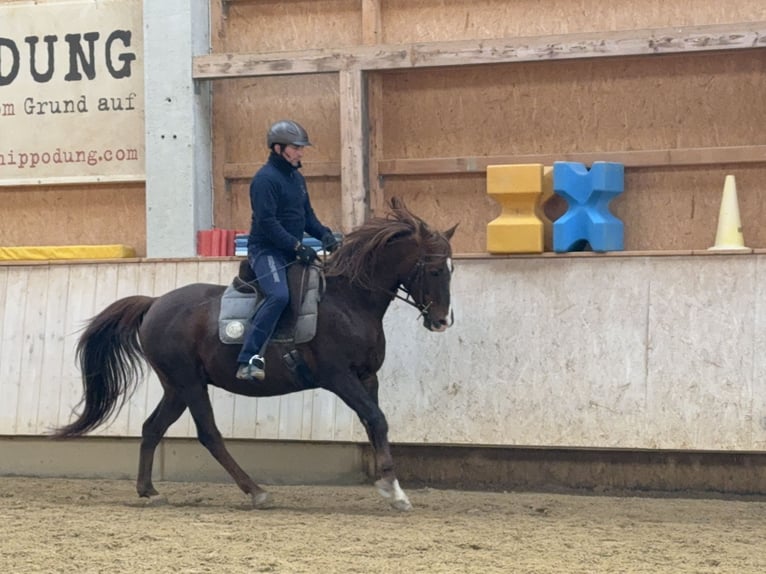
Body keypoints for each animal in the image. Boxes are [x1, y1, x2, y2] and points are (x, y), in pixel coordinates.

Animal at [55, 199, 462, 512]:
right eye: (434, 269)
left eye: (451, 268)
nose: (442, 321)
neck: (348, 299)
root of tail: (155, 303)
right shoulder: (340, 377)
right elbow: (376, 419)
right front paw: (393, 489)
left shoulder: (366, 376)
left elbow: (375, 422)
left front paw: (390, 487)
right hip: (189, 384)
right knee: (209, 434)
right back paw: (255, 491)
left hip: (177, 387)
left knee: (152, 427)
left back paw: (148, 490)